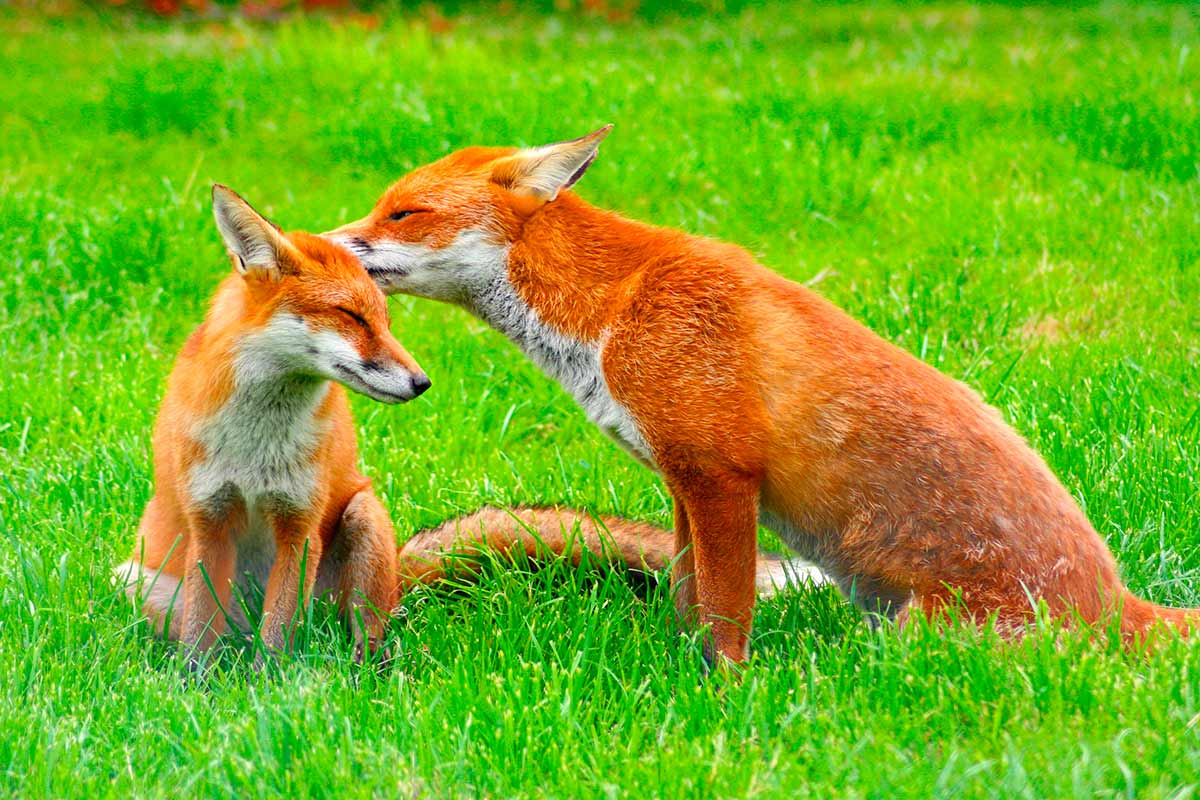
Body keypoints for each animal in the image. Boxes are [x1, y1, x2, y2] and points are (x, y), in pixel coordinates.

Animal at [324, 125, 1195, 662]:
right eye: (382, 205)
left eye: (403, 211)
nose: (319, 246)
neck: (611, 311)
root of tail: (1119, 605)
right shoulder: (682, 481)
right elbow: (687, 597)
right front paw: (680, 670)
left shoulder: (721, 475)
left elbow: (728, 613)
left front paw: (725, 691)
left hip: (915, 636)